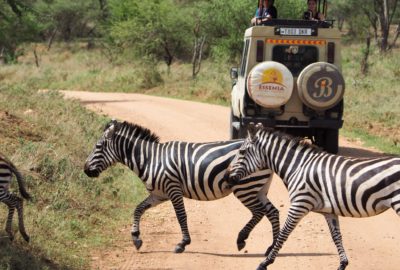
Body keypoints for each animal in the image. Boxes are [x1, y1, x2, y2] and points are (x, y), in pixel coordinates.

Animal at [83, 120, 280, 253]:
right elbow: (138, 209)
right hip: (259, 188)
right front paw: (136, 238)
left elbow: (181, 216)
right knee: (272, 212)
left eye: (98, 146)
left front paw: (182, 243)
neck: (150, 159)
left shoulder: (173, 188)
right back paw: (272, 246)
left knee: (259, 212)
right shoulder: (158, 194)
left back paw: (241, 239)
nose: (85, 170)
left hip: (245, 187)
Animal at [227, 124, 400, 270]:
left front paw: (265, 263)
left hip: (398, 203)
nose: (228, 178)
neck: (298, 167)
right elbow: (336, 236)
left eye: (241, 152)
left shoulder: (299, 204)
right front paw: (343, 264)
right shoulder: (329, 211)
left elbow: (284, 234)